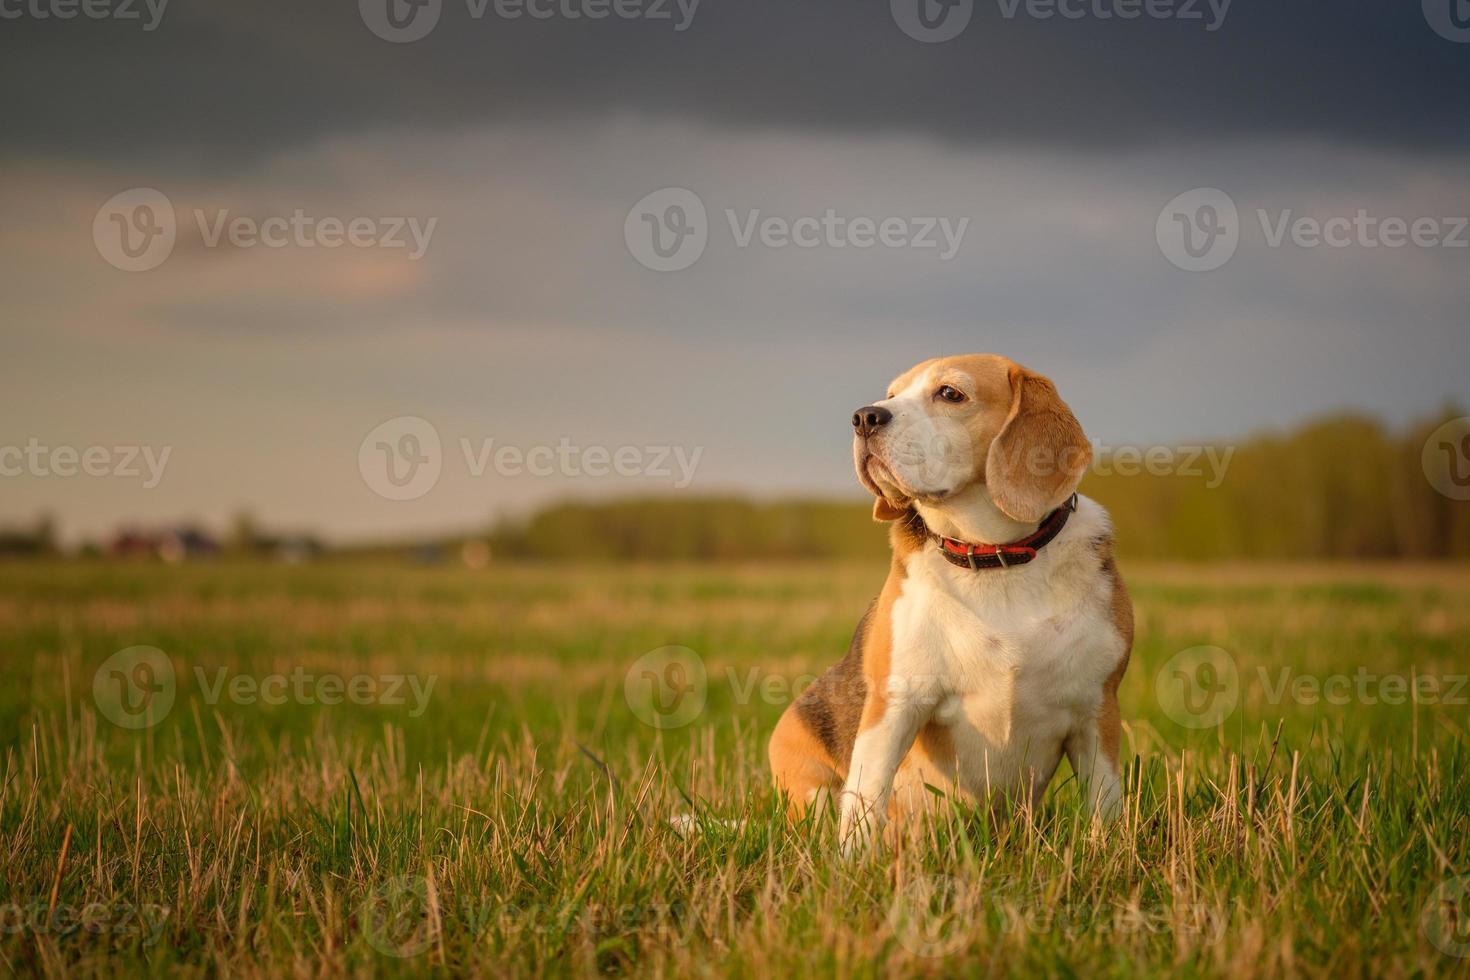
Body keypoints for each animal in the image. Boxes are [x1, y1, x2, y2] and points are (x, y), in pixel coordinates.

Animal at [770, 354, 1134, 852]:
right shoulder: (895, 703)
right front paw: (853, 865)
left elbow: (1105, 802)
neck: (995, 558)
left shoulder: (1098, 710)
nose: (864, 416)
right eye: (891, 393)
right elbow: (865, 800)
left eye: (950, 393)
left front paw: (1109, 854)